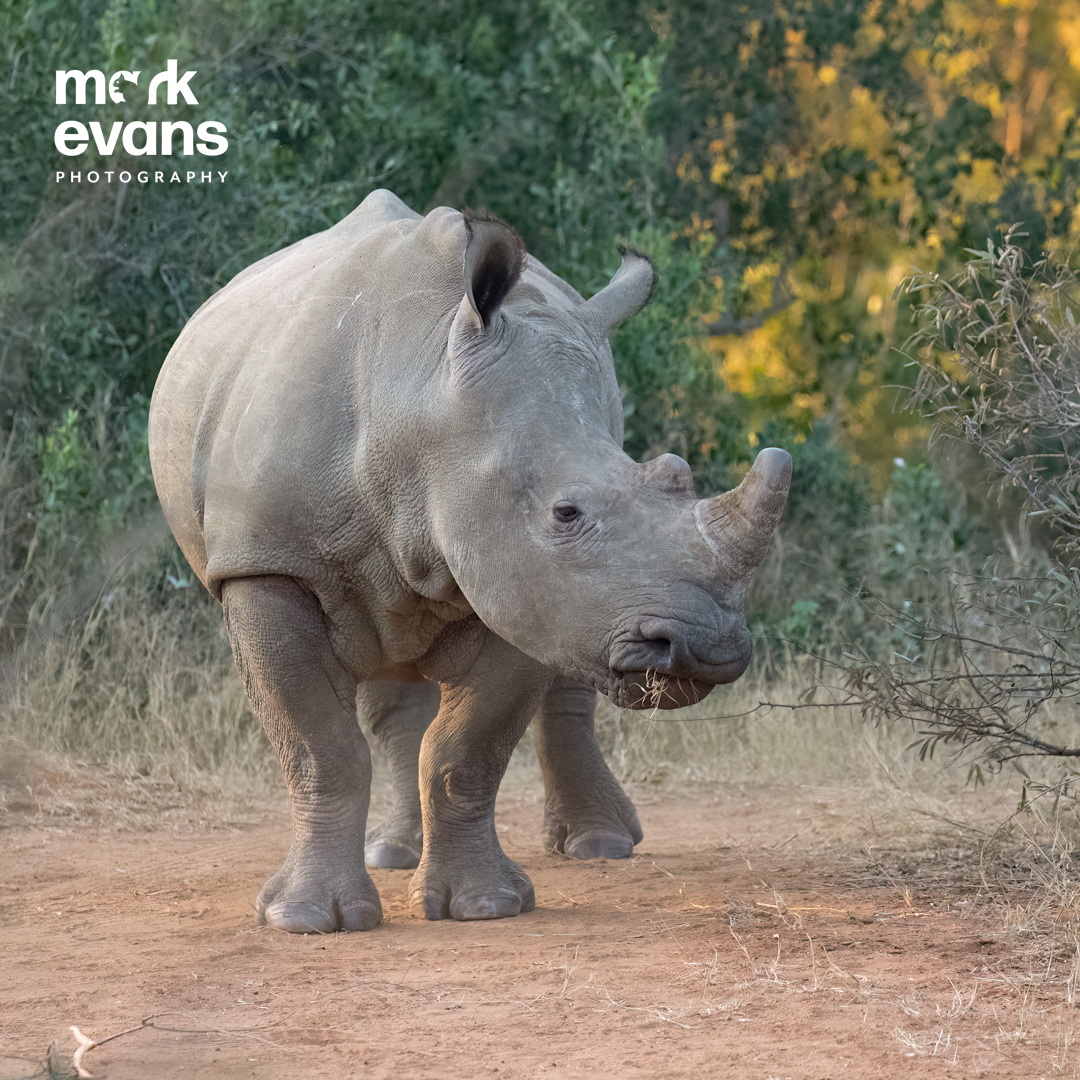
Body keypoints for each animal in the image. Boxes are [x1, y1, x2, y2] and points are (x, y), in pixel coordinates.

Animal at [148, 189, 790, 933]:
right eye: (565, 513)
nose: (705, 650)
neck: (422, 405)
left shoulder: (517, 579)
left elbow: (468, 749)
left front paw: (485, 907)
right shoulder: (265, 563)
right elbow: (320, 747)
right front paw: (306, 920)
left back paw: (599, 846)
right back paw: (394, 855)